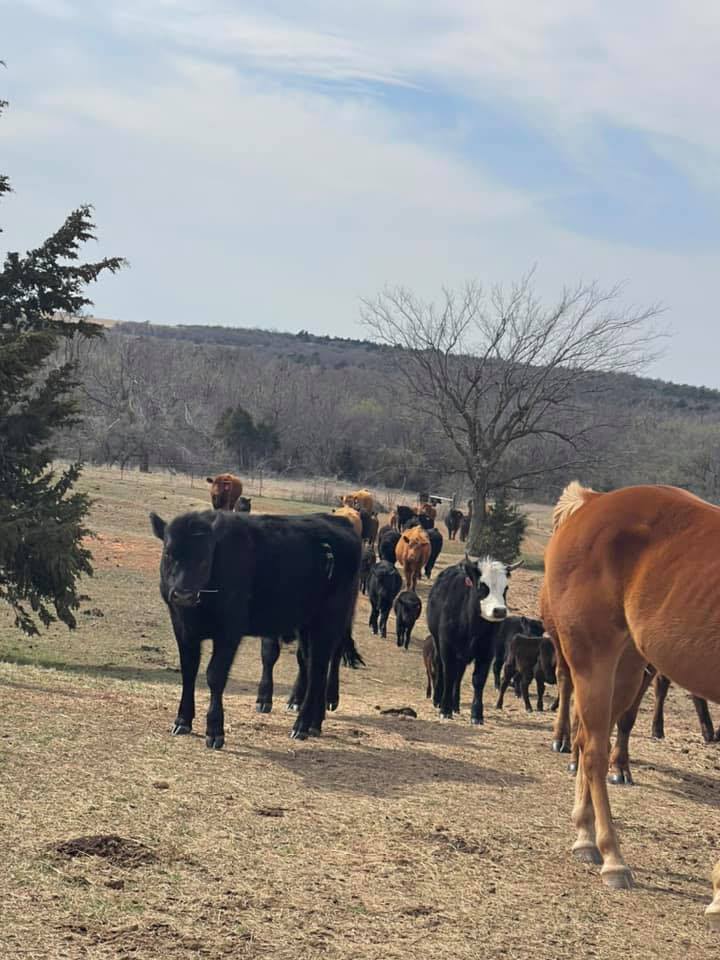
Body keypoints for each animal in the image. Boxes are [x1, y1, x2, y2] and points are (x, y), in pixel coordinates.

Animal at [150, 508, 362, 746]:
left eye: (204, 557)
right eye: (168, 554)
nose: (183, 595)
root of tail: (340, 523)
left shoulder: (229, 632)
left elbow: (215, 675)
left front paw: (215, 730)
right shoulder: (183, 629)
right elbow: (188, 671)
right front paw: (183, 720)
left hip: (329, 624)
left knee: (318, 669)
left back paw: (302, 725)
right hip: (308, 626)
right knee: (311, 666)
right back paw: (314, 723)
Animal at [427, 556, 521, 723]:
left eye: (506, 588)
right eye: (482, 586)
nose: (499, 611)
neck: (472, 626)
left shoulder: (487, 652)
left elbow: (478, 680)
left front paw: (477, 714)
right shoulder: (447, 647)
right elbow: (448, 674)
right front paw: (445, 709)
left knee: (459, 675)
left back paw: (456, 705)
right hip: (438, 643)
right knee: (441, 668)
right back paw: (438, 700)